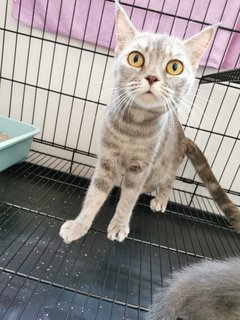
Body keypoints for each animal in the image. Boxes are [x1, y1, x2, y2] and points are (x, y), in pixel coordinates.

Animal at [59, 1, 239, 244]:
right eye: (135, 58)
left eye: (175, 67)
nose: (152, 77)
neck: (133, 127)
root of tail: (184, 138)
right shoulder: (108, 159)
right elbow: (95, 195)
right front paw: (79, 226)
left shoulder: (141, 166)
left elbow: (129, 198)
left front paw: (119, 226)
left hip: (163, 166)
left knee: (166, 182)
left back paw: (160, 199)